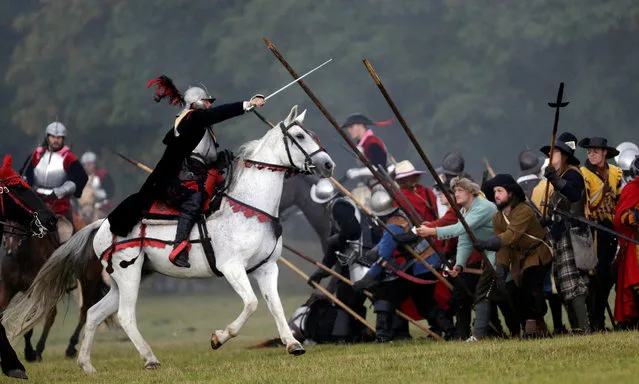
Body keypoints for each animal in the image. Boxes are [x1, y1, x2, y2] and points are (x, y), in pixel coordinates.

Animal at [3, 105, 336, 372]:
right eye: (300, 136)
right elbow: (252, 304)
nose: (328, 165)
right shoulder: (233, 268)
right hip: (128, 275)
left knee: (96, 314)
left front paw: (292, 343)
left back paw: (86, 364)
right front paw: (218, 338)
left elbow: (275, 306)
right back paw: (149, 359)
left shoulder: (266, 269)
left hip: (125, 279)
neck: (249, 205)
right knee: (125, 316)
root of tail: (101, 223)